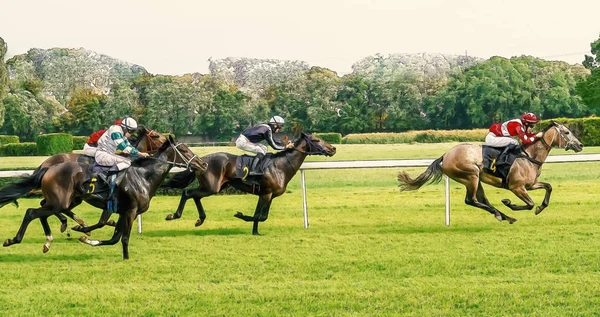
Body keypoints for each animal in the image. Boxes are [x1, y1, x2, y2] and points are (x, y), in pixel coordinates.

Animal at [2, 135, 205, 258]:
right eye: (185, 150)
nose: (202, 164)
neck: (143, 175)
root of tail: (48, 167)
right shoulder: (130, 211)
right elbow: (122, 237)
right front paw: (126, 258)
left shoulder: (122, 211)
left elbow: (113, 236)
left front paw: (86, 237)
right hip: (59, 202)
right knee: (31, 212)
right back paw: (14, 240)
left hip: (66, 201)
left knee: (40, 210)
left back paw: (51, 238)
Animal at [162, 131, 336, 235]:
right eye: (316, 139)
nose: (333, 148)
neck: (281, 166)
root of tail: (200, 160)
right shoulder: (266, 194)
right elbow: (258, 215)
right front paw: (243, 218)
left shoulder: (268, 195)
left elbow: (262, 216)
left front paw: (254, 230)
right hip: (212, 187)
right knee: (187, 193)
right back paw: (174, 215)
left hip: (214, 186)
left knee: (195, 196)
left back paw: (200, 219)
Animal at [396, 121, 584, 222]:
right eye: (567, 132)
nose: (580, 145)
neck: (529, 156)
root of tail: (446, 155)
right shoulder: (517, 187)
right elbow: (529, 204)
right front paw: (509, 203)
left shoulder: (530, 185)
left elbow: (548, 187)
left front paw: (541, 207)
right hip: (470, 175)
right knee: (471, 200)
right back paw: (502, 215)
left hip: (475, 179)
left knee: (481, 200)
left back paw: (505, 217)